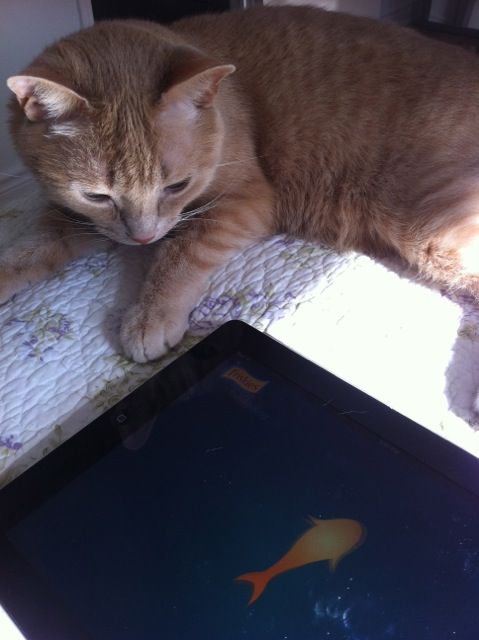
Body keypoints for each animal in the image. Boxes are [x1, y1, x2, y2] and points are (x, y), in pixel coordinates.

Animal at [4, 5, 479, 362]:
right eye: (97, 196)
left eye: (177, 186)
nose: (142, 238)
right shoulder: (75, 216)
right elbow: (33, 249)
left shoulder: (246, 200)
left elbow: (182, 252)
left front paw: (151, 313)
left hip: (433, 229)